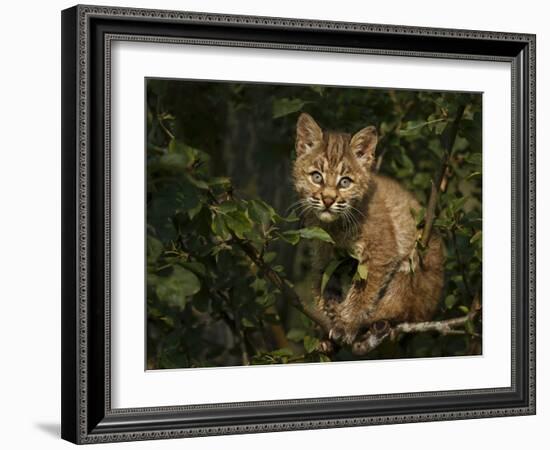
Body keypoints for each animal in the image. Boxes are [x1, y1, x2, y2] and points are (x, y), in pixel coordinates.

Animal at [294, 112, 444, 344]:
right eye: (316, 177)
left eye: (345, 182)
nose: (328, 200)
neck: (334, 224)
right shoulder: (324, 254)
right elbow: (326, 287)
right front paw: (330, 320)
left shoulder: (382, 251)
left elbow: (363, 291)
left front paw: (347, 323)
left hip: (417, 257)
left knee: (404, 308)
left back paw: (376, 321)